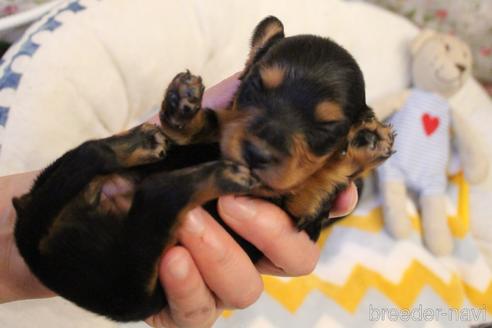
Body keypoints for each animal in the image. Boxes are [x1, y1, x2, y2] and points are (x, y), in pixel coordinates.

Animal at [13, 16, 394, 322]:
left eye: (327, 128)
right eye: (256, 86)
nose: (255, 153)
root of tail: (35, 251)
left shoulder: (301, 219)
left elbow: (316, 184)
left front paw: (366, 144)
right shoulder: (223, 126)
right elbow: (207, 122)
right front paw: (182, 105)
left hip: (136, 278)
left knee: (154, 191)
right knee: (104, 160)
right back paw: (147, 144)